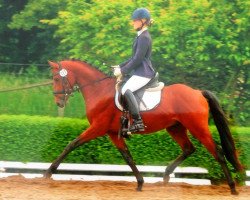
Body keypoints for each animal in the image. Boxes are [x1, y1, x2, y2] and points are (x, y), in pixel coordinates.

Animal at [46, 59, 243, 194]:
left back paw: (232, 188)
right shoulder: (112, 133)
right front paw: (140, 182)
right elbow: (127, 157)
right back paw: (165, 178)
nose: (58, 102)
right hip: (175, 128)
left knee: (217, 152)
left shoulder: (98, 128)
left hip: (197, 127)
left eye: (56, 78)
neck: (99, 90)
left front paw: (48, 173)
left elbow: (71, 144)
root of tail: (198, 92)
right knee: (189, 148)